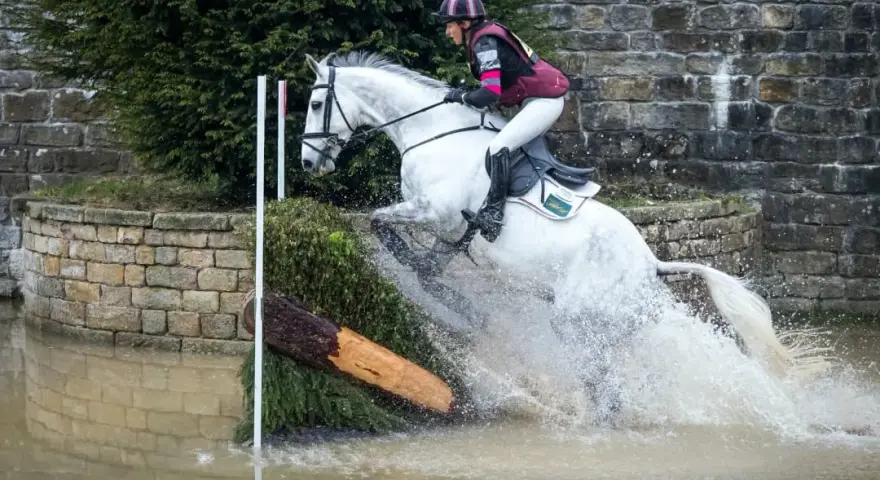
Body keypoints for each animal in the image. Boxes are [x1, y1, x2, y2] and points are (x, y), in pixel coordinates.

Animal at [295, 50, 831, 418]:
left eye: (317, 102)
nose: (306, 163)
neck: (431, 132)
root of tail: (650, 263)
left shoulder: (433, 212)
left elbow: (380, 223)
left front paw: (430, 282)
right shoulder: (451, 233)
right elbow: (429, 271)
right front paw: (459, 305)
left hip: (576, 322)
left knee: (604, 388)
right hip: (619, 325)